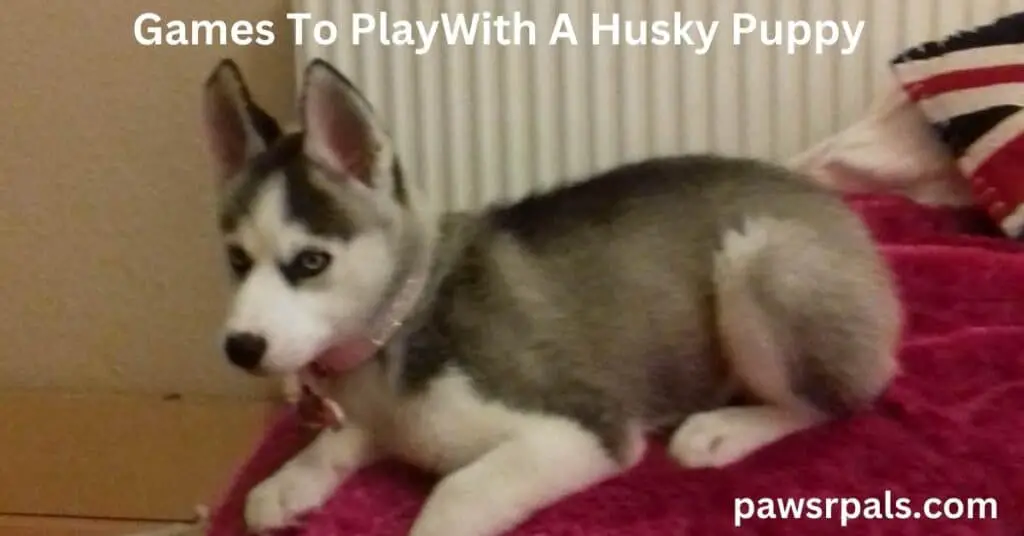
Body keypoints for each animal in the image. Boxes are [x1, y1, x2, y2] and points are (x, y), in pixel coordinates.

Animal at [203, 58, 901, 536]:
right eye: (235, 260)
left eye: (310, 262)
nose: (240, 348)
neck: (400, 327)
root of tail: (835, 208)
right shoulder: (378, 420)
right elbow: (337, 443)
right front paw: (287, 481)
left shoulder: (586, 429)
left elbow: (456, 493)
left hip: (757, 257)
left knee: (829, 403)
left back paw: (724, 429)